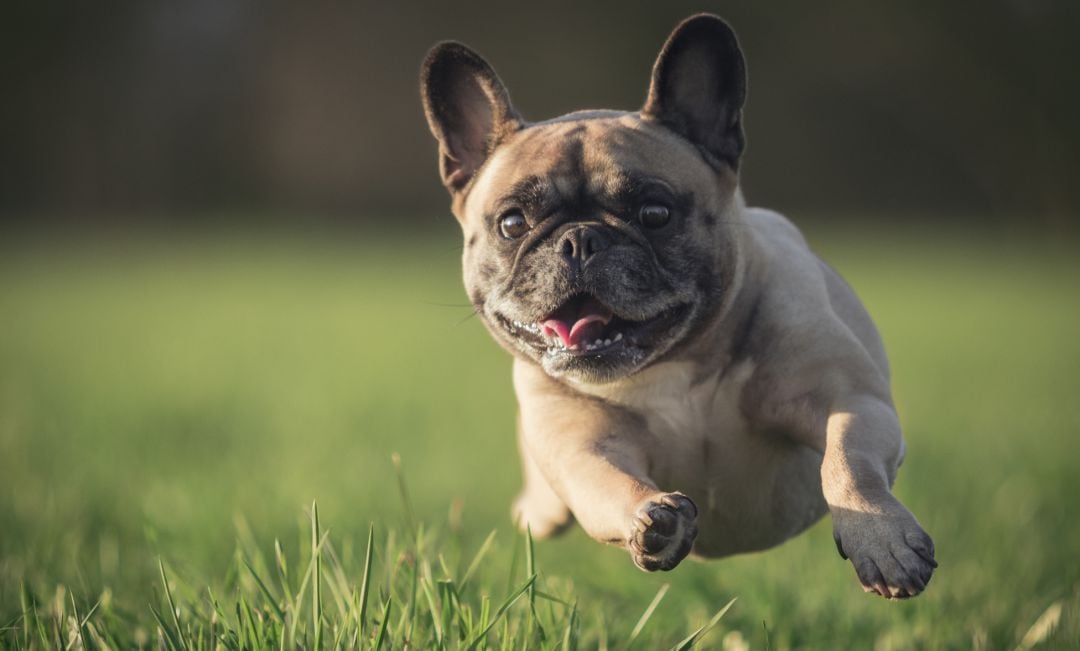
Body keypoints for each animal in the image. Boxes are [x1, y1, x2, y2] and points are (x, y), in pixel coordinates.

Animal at [421, 12, 937, 600]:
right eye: (512, 224)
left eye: (655, 213)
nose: (579, 240)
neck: (674, 365)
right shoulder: (582, 446)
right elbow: (606, 481)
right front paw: (651, 518)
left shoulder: (850, 400)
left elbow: (849, 461)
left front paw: (883, 541)